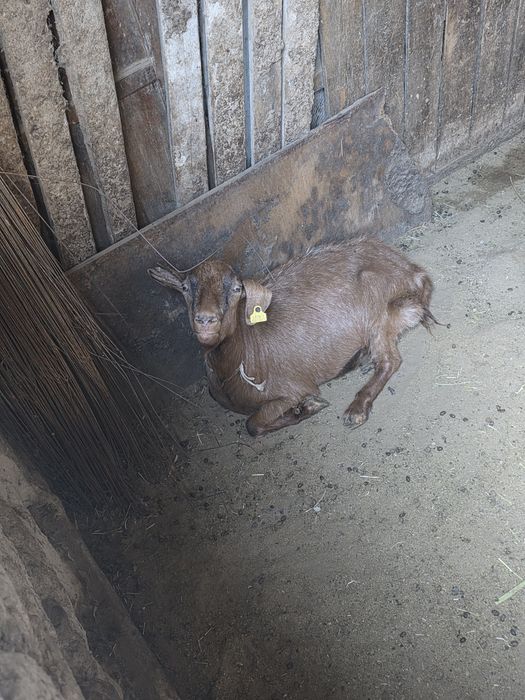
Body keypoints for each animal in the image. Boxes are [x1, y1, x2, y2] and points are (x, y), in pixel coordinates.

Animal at [148, 238, 435, 437]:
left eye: (237, 289)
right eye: (185, 287)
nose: (206, 320)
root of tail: (414, 273)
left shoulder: (292, 389)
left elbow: (253, 424)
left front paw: (308, 407)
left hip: (378, 309)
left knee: (390, 360)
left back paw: (356, 409)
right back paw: (359, 359)